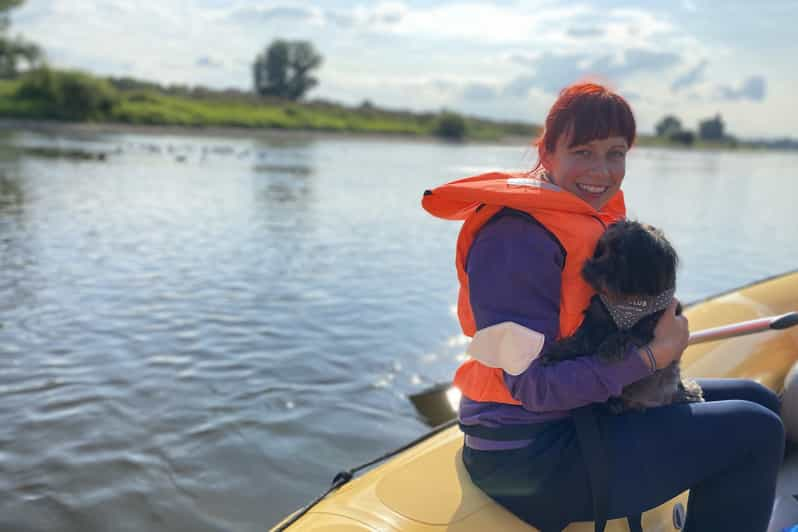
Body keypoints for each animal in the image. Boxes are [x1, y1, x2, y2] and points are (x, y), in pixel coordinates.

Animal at [544, 218, 708, 414]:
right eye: (602, 250)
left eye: (620, 256)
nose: (589, 268)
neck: (628, 300)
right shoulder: (597, 318)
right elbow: (582, 339)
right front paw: (559, 351)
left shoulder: (653, 323)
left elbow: (628, 333)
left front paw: (611, 345)